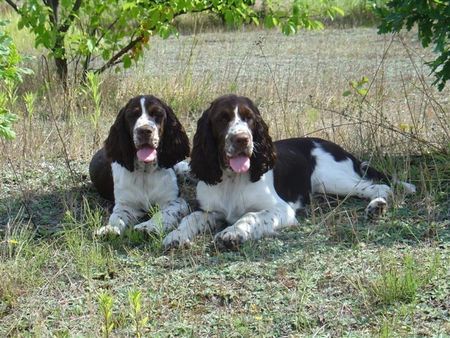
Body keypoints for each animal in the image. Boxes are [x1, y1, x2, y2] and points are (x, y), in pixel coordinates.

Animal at [90, 95, 191, 236]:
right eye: (132, 115)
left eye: (157, 114)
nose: (144, 131)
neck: (145, 171)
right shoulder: (126, 204)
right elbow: (117, 216)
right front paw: (110, 229)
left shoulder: (174, 201)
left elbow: (163, 214)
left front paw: (149, 227)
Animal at [163, 94, 416, 248]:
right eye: (222, 119)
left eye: (249, 119)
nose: (242, 139)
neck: (232, 180)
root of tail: (338, 147)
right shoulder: (210, 211)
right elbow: (190, 218)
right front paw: (175, 236)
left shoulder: (281, 209)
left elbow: (250, 216)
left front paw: (233, 233)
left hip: (334, 179)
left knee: (377, 187)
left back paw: (377, 207)